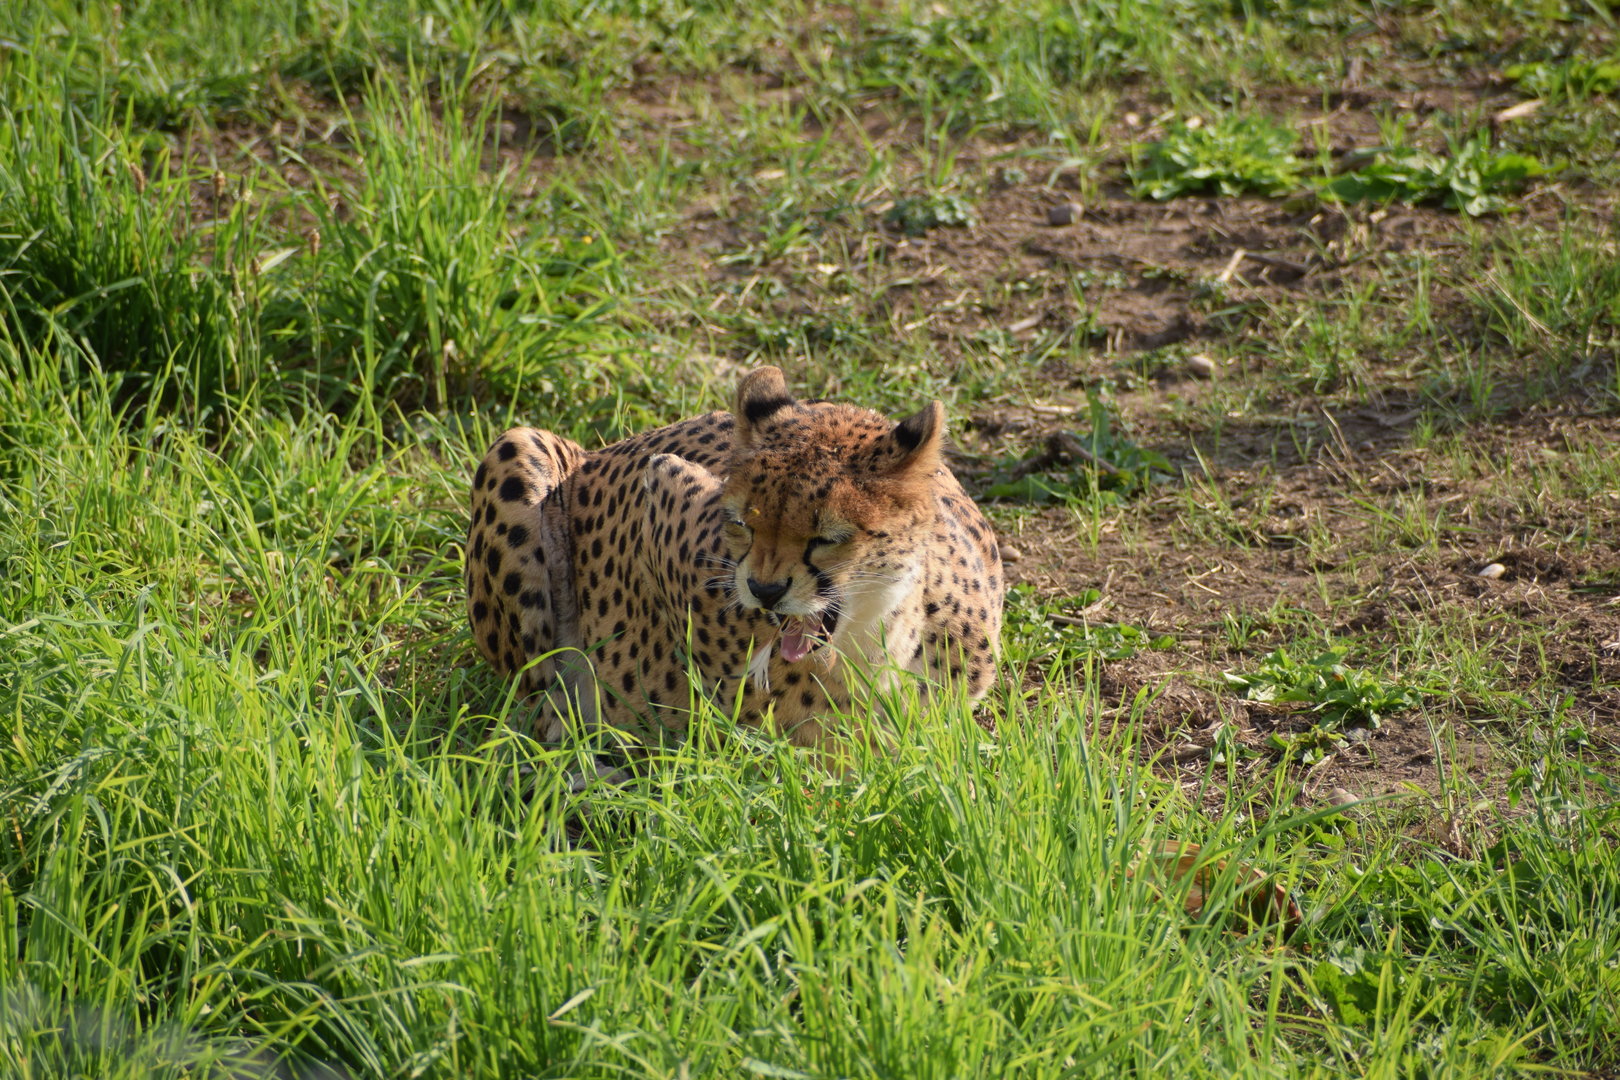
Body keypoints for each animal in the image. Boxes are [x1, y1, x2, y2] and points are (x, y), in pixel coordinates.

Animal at [464, 365, 1003, 755]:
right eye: (743, 522)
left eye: (827, 537)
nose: (764, 590)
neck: (877, 635)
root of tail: (596, 451)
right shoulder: (659, 488)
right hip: (516, 447)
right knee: (536, 699)